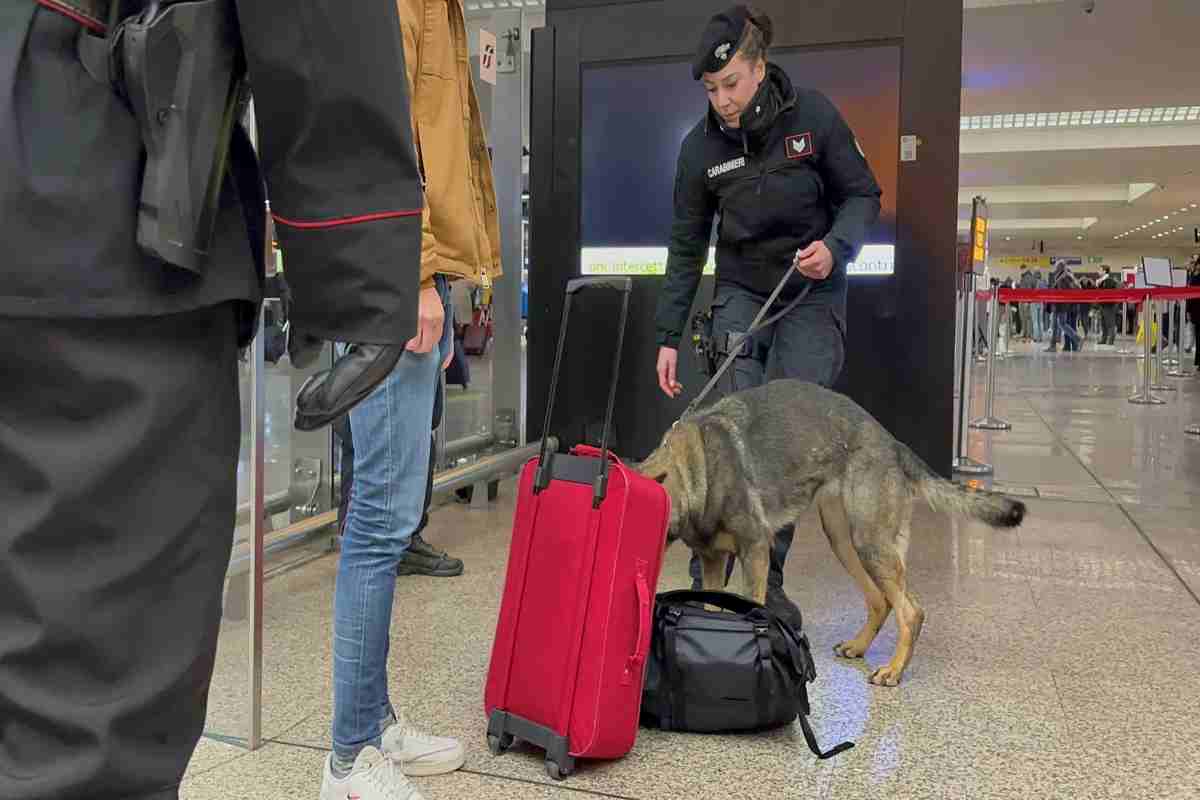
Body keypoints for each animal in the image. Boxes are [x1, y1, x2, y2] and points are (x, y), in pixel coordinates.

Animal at [643, 381, 1027, 690]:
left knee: (911, 611)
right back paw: (860, 647)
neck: (696, 470)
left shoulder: (755, 551)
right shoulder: (712, 561)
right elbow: (711, 606)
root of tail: (892, 442)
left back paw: (894, 670)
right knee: (881, 600)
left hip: (869, 542)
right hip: (845, 540)